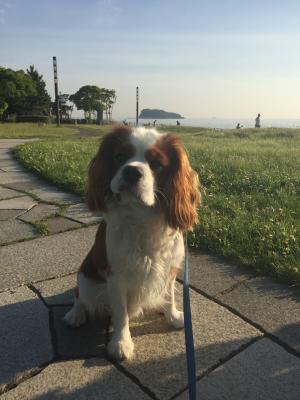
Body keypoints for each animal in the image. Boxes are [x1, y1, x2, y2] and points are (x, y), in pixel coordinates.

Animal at [63, 126, 200, 360]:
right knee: (79, 296)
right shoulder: (116, 277)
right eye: (120, 156)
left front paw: (173, 316)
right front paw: (121, 343)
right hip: (86, 279)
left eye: (157, 164)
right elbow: (121, 313)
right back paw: (75, 314)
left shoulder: (169, 268)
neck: (140, 216)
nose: (132, 171)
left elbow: (170, 294)